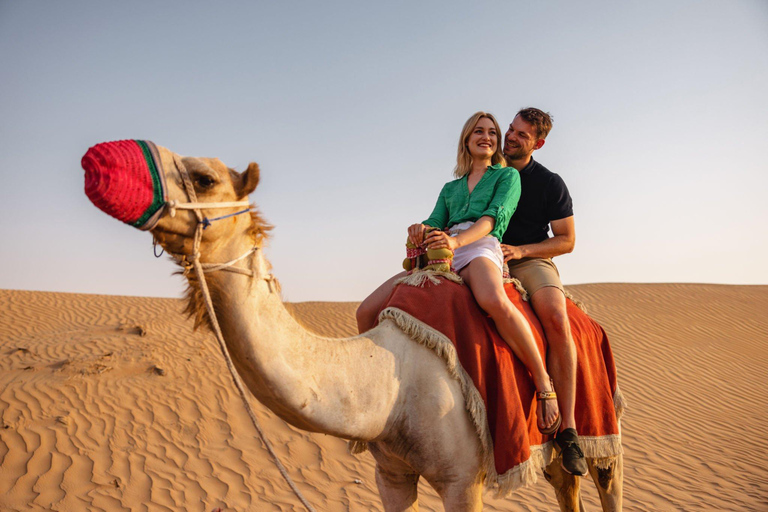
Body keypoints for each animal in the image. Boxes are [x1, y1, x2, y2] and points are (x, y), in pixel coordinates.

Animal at [82, 141, 624, 512]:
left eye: (204, 178)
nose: (98, 161)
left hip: (602, 418)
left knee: (604, 478)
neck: (391, 385)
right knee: (566, 486)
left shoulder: (463, 480)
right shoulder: (392, 474)